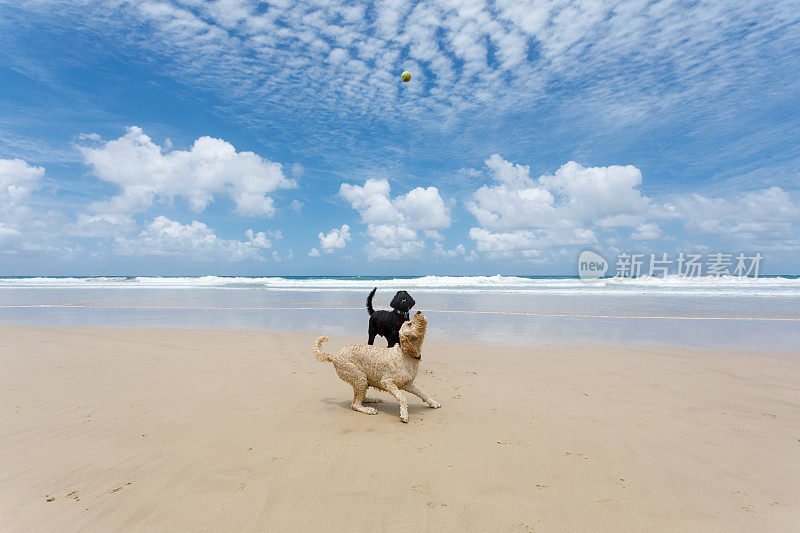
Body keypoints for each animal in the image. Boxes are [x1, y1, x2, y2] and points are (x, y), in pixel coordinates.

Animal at [312, 310, 440, 422]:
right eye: (409, 323)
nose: (418, 311)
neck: (406, 353)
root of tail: (334, 355)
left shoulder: (407, 384)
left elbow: (423, 393)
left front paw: (433, 403)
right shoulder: (387, 382)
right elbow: (402, 397)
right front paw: (404, 414)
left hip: (363, 380)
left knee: (360, 398)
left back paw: (371, 399)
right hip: (359, 378)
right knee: (355, 405)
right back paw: (368, 410)